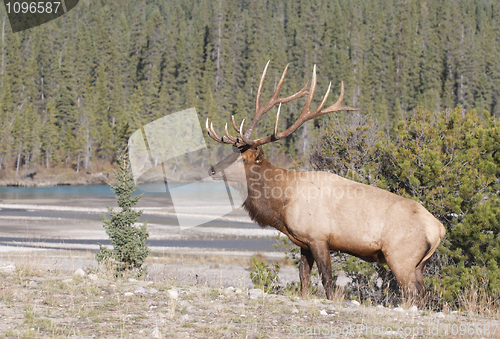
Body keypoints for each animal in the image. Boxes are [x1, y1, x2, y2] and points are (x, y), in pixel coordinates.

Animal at [204, 61, 446, 300]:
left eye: (242, 158)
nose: (212, 169)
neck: (282, 203)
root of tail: (439, 229)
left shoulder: (318, 238)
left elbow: (327, 281)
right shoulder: (303, 242)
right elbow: (303, 277)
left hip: (400, 258)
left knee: (413, 294)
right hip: (418, 265)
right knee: (424, 294)